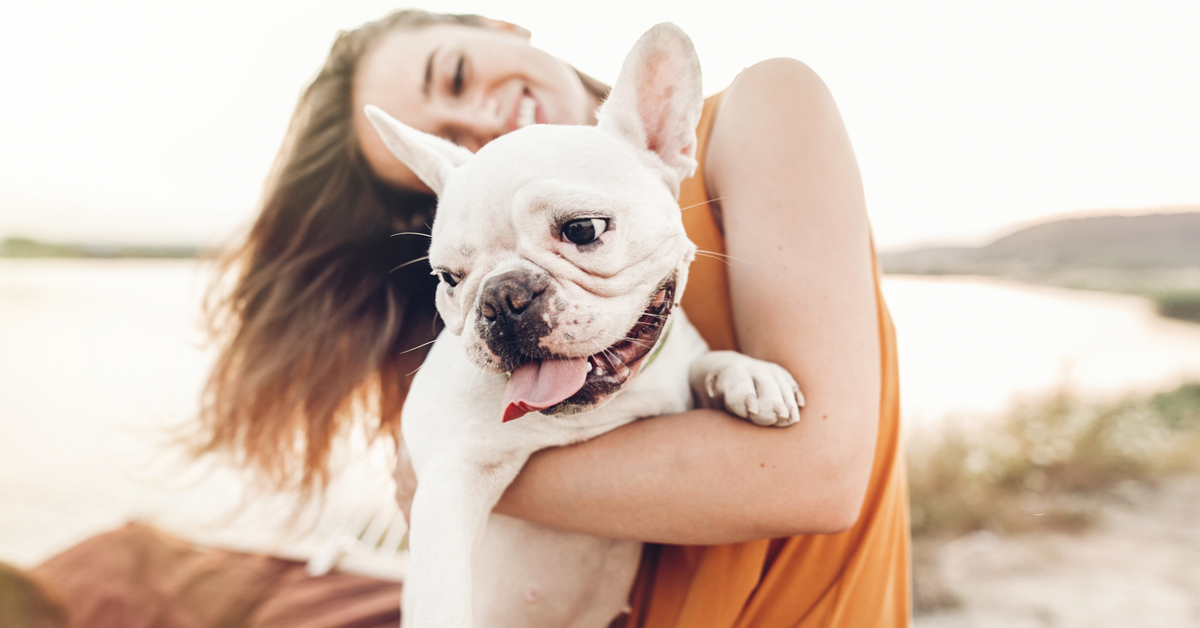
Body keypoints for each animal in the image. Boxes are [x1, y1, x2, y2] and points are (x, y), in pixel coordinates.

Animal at [360, 23, 801, 628]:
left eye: (583, 229)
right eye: (449, 278)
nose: (502, 297)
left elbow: (704, 361)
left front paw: (750, 375)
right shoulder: (449, 479)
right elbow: (443, 592)